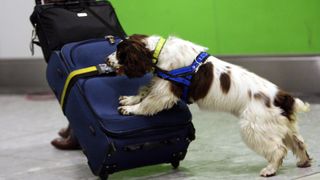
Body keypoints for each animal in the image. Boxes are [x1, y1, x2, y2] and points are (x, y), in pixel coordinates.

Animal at [106, 34, 312, 176]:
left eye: (120, 53)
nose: (107, 60)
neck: (159, 51)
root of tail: (283, 97)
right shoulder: (160, 82)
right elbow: (144, 91)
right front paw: (129, 100)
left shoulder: (165, 91)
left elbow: (148, 103)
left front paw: (130, 109)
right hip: (281, 125)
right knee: (299, 142)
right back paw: (304, 162)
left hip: (254, 126)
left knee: (278, 149)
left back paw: (270, 169)